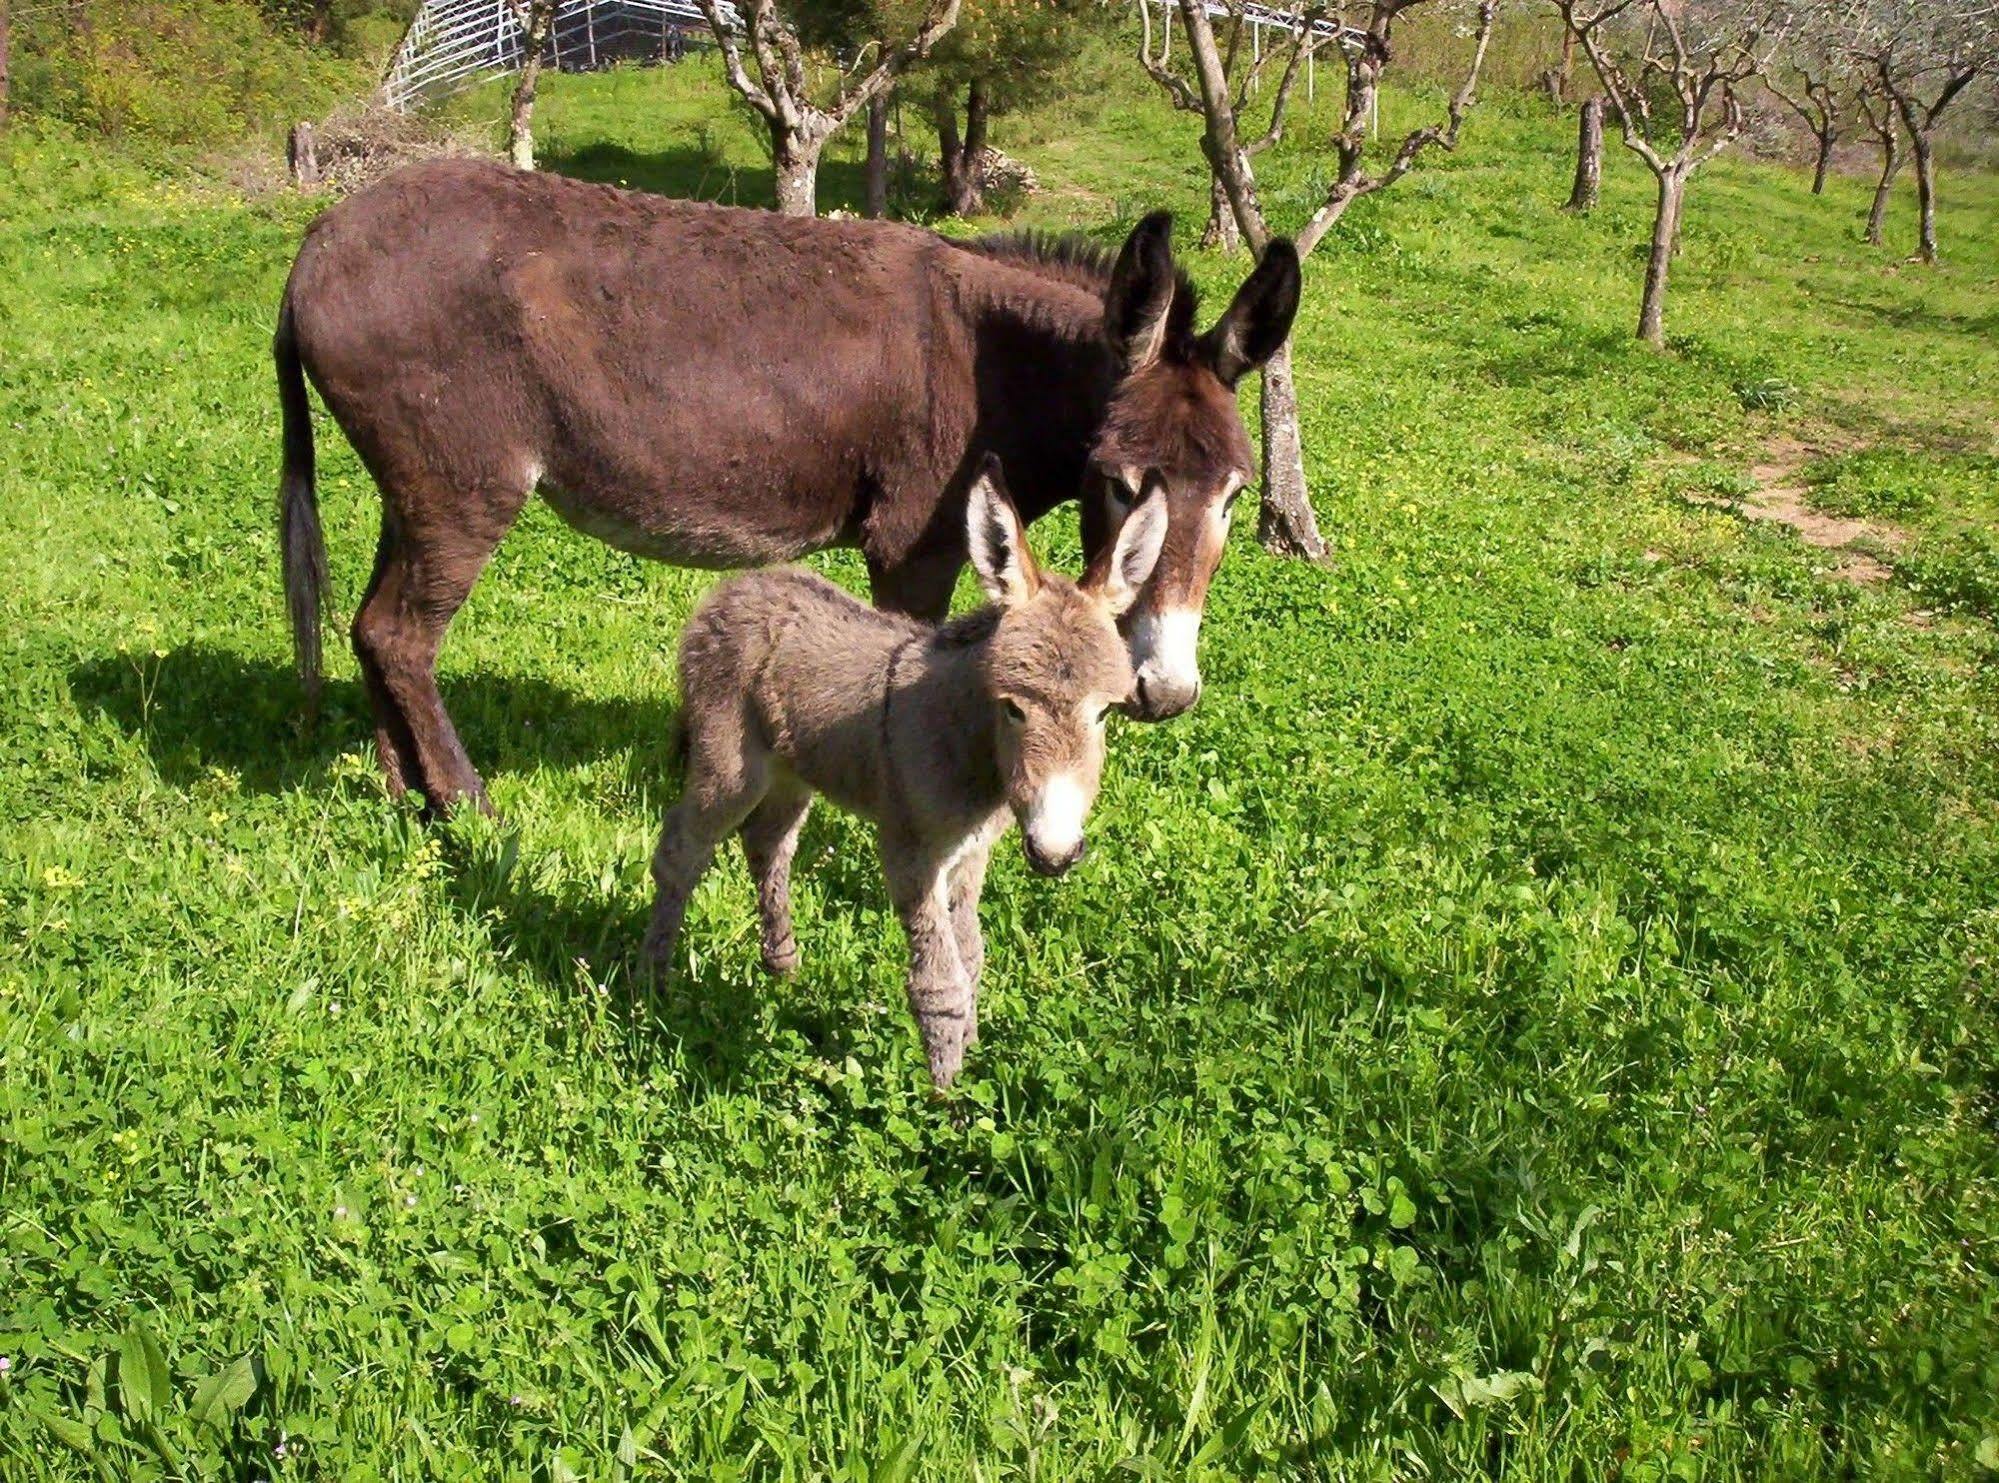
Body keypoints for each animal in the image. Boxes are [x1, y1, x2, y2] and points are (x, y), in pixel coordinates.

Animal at [639, 459, 1167, 1087]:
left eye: (1105, 712)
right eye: (1012, 708)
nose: (1055, 853)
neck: (968, 745)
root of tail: (730, 590)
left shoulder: (970, 855)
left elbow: (972, 957)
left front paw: (970, 1054)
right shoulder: (911, 854)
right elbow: (940, 981)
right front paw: (945, 1094)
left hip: (795, 771)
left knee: (767, 843)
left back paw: (782, 964)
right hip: (730, 765)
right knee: (681, 851)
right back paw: (653, 985)